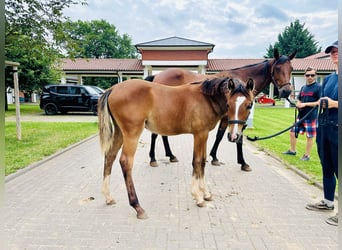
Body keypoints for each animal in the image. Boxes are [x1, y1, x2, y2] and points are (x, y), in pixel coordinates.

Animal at [98, 77, 254, 218]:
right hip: (132, 134)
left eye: (249, 105)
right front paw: (198, 197)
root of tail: (113, 89)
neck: (206, 99)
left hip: (119, 132)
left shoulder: (204, 135)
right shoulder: (199, 134)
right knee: (125, 162)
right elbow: (197, 162)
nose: (233, 136)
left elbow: (203, 162)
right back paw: (137, 207)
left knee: (110, 156)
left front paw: (206, 193)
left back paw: (108, 197)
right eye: (228, 104)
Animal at [146, 48, 296, 171]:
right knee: (155, 134)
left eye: (291, 68)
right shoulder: (229, 117)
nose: (287, 91)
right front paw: (242, 163)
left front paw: (213, 157)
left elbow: (222, 135)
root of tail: (157, 76)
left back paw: (171, 155)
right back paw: (153, 158)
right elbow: (228, 137)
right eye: (277, 68)